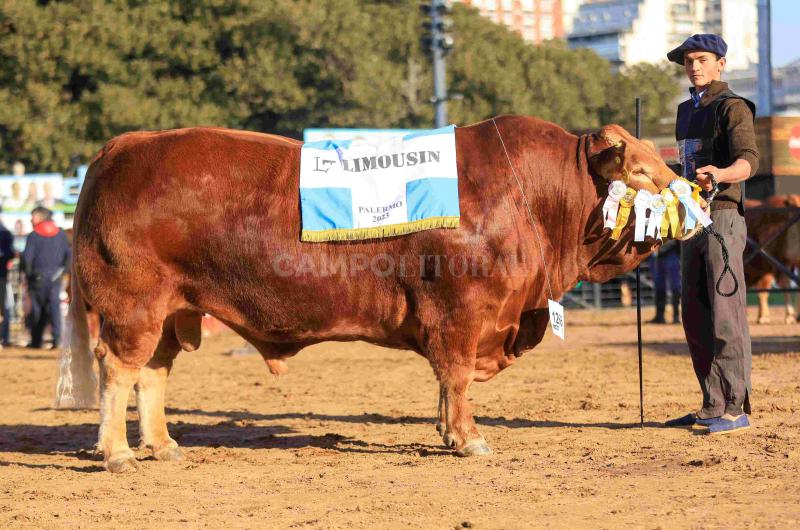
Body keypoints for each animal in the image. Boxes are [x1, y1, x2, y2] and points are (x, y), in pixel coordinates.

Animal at [59, 115, 680, 470]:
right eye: (642, 172)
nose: (695, 190)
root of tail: (123, 146)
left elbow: (444, 382)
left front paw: (446, 433)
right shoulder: (461, 312)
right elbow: (456, 376)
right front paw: (469, 439)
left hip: (171, 312)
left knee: (152, 373)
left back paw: (163, 445)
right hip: (133, 306)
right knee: (119, 369)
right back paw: (117, 453)